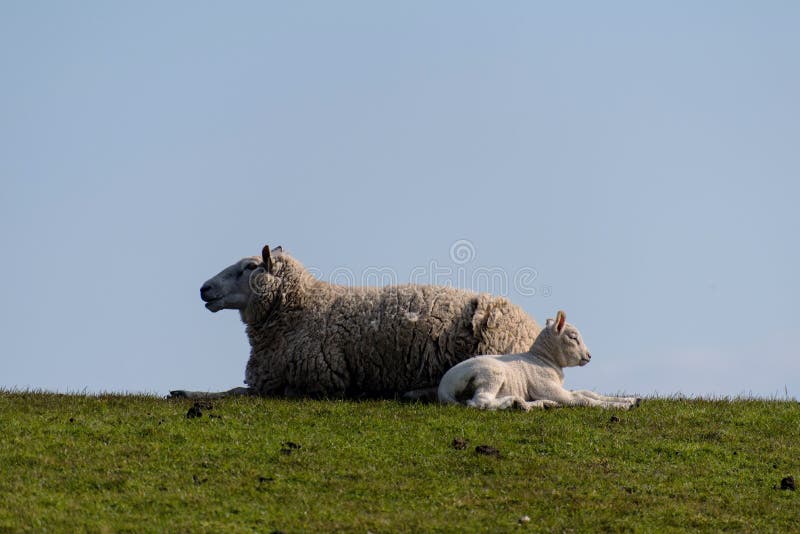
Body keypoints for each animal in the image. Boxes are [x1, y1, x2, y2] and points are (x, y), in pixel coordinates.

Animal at [169, 245, 541, 399]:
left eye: (249, 267)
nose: (204, 289)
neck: (302, 308)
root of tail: (533, 328)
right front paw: (183, 391)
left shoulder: (321, 379)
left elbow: (240, 392)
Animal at [437, 310, 641, 410]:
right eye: (573, 337)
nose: (589, 356)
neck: (542, 359)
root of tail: (444, 387)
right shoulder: (547, 387)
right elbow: (582, 399)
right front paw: (617, 406)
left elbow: (588, 393)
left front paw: (630, 400)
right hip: (491, 375)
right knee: (480, 401)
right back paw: (515, 403)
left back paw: (535, 404)